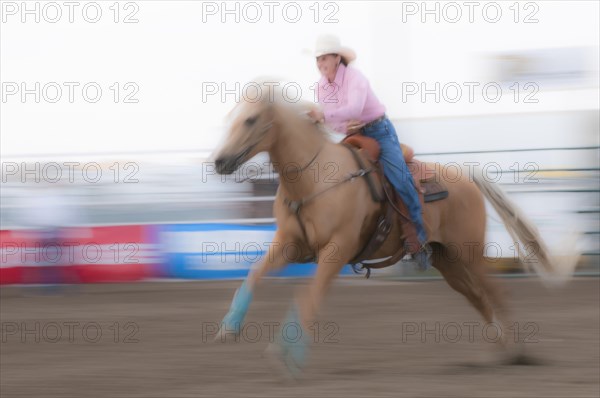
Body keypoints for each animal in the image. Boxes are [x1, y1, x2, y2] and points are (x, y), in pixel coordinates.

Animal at [212, 93, 576, 376]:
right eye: (230, 117)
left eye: (250, 120)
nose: (219, 161)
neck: (313, 179)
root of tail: (467, 176)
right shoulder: (291, 245)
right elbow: (255, 273)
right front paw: (229, 326)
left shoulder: (337, 250)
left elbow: (309, 296)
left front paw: (288, 357)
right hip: (447, 262)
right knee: (477, 298)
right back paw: (500, 351)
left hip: (469, 253)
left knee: (497, 293)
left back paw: (518, 352)